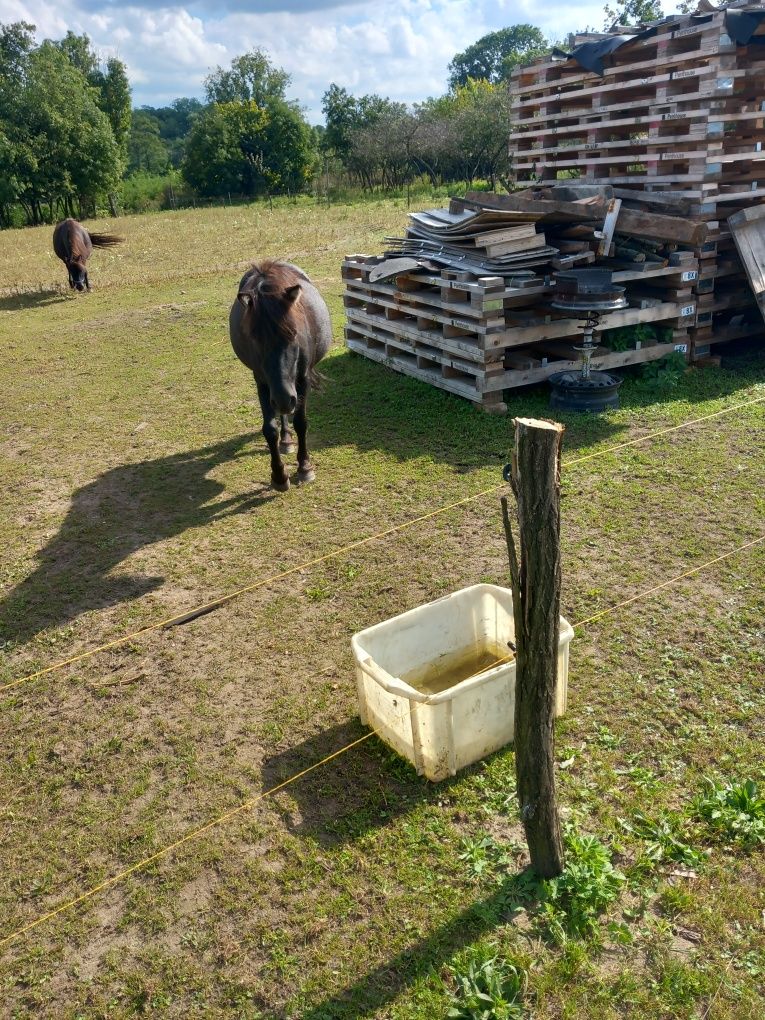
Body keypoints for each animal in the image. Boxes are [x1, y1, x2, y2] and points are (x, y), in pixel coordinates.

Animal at [230, 263, 332, 493]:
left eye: (293, 334)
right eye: (254, 339)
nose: (285, 398)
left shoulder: (301, 380)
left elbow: (301, 422)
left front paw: (304, 467)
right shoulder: (262, 381)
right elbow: (269, 429)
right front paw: (278, 475)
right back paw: (285, 440)